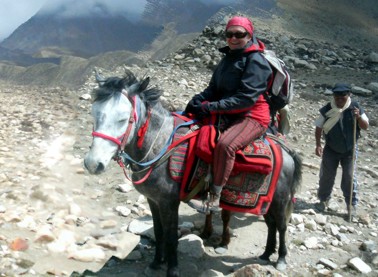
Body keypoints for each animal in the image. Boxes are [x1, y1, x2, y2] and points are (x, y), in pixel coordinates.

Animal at [84, 70, 302, 276]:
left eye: (123, 119)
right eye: (94, 113)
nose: (93, 164)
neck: (160, 146)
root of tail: (286, 151)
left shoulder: (169, 202)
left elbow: (171, 236)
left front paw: (172, 269)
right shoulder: (153, 200)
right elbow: (159, 232)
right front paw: (155, 264)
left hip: (280, 200)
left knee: (281, 226)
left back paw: (281, 259)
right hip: (266, 202)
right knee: (271, 224)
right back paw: (266, 254)